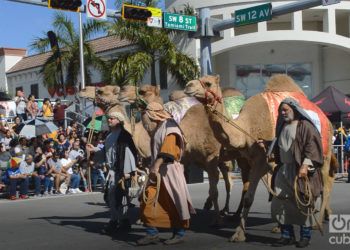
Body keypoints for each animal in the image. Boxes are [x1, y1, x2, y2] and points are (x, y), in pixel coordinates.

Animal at [119, 84, 250, 223]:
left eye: (143, 91)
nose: (122, 90)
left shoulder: (210, 158)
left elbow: (213, 191)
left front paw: (217, 220)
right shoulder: (188, 160)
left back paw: (233, 213)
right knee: (233, 181)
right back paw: (229, 211)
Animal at [185, 74, 338, 242]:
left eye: (208, 83)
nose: (188, 86)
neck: (246, 128)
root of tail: (328, 120)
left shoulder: (259, 161)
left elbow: (250, 196)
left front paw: (238, 233)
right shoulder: (254, 160)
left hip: (323, 153)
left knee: (326, 184)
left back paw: (317, 222)